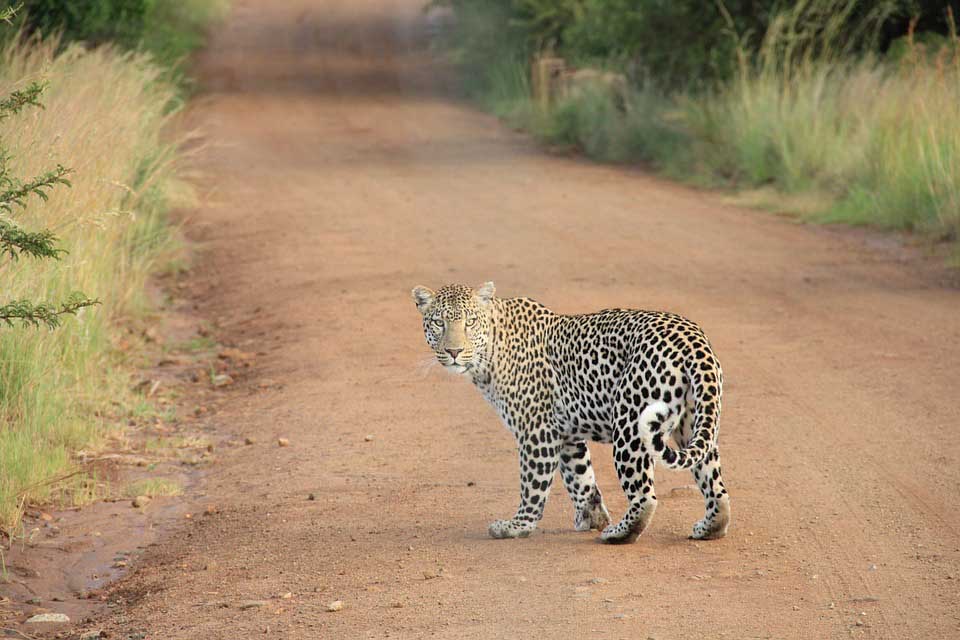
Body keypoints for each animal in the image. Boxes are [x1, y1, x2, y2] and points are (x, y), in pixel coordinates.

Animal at [408, 282, 732, 544]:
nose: (453, 352)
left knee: (644, 496)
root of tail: (693, 339)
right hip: (694, 422)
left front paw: (517, 526)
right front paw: (591, 517)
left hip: (630, 424)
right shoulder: (565, 434)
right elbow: (581, 478)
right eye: (438, 322)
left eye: (470, 322)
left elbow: (533, 484)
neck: (490, 352)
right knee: (715, 484)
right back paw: (709, 527)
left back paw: (618, 533)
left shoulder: (536, 430)